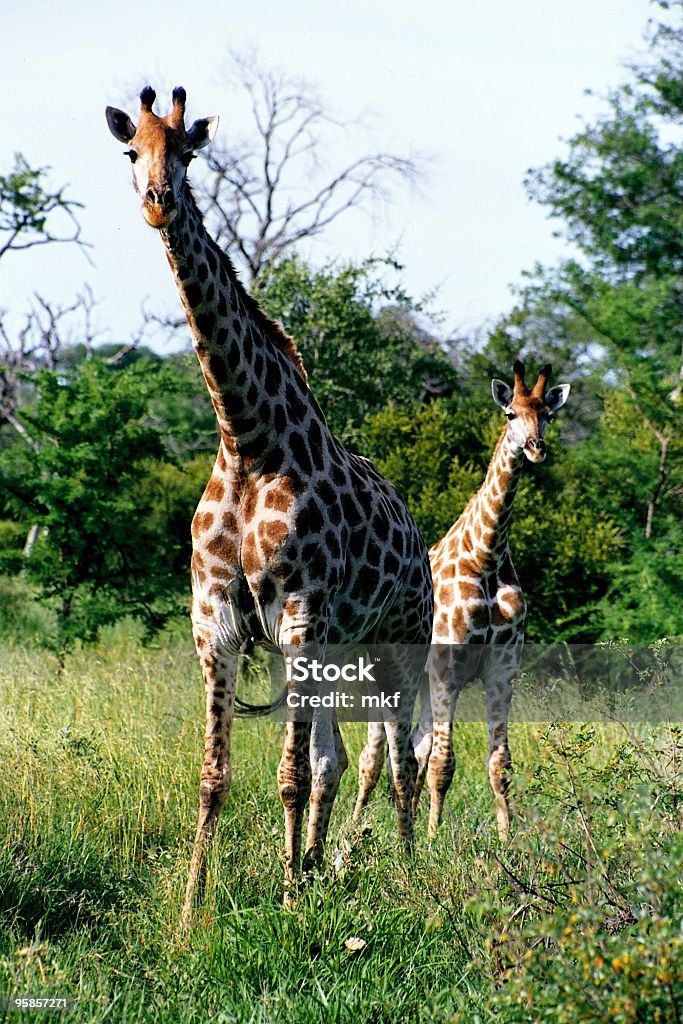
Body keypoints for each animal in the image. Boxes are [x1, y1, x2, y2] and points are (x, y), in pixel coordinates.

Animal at [105, 83, 432, 925]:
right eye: (131, 151)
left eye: (189, 152)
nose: (156, 202)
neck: (245, 439)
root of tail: (420, 537)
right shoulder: (214, 621)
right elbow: (216, 776)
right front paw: (192, 918)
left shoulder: (299, 610)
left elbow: (287, 773)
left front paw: (286, 906)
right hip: (339, 654)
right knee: (339, 756)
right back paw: (321, 866)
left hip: (397, 643)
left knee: (403, 756)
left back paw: (406, 874)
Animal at [356, 360, 569, 839]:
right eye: (510, 413)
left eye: (547, 415)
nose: (536, 449)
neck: (486, 556)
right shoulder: (446, 667)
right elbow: (443, 762)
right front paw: (434, 837)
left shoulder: (502, 667)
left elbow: (499, 763)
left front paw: (507, 839)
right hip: (385, 677)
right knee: (373, 755)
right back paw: (353, 826)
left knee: (413, 747)